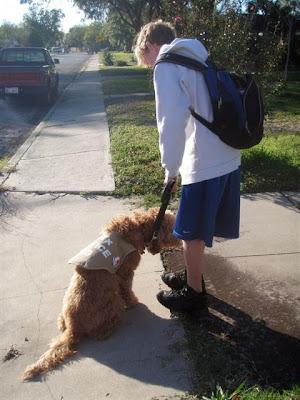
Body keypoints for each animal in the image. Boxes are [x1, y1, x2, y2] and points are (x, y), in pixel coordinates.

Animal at [22, 208, 180, 380]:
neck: (138, 226)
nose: (181, 240)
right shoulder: (125, 274)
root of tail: (74, 328)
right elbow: (127, 292)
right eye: (172, 228)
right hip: (115, 304)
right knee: (99, 333)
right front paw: (133, 302)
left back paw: (62, 321)